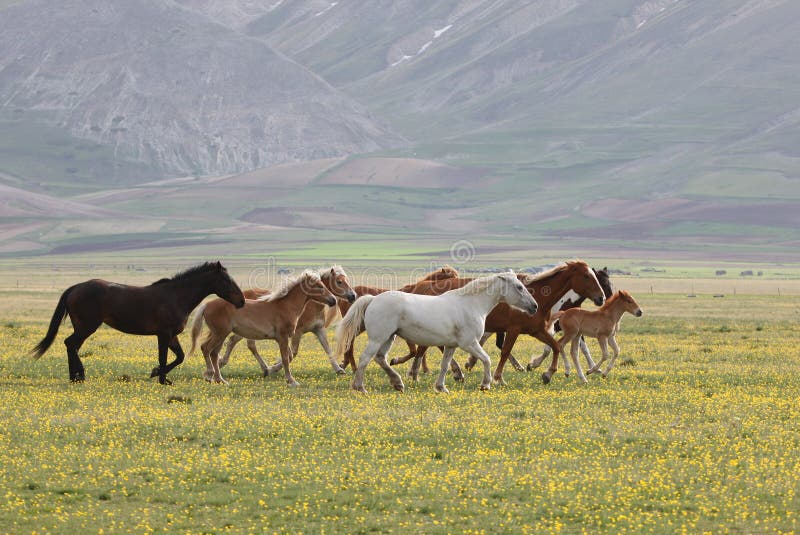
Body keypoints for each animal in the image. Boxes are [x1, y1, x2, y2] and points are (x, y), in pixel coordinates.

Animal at [30, 261, 245, 384]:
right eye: (226, 280)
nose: (242, 301)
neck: (176, 296)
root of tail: (76, 287)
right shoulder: (163, 334)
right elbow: (164, 357)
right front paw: (160, 377)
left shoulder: (171, 335)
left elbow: (180, 357)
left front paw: (159, 375)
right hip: (87, 326)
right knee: (70, 344)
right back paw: (79, 375)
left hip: (83, 327)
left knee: (71, 345)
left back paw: (74, 377)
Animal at [189, 270, 337, 386]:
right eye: (319, 286)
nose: (333, 300)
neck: (285, 306)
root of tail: (207, 305)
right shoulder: (282, 337)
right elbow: (285, 358)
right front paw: (292, 381)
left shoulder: (283, 338)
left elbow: (288, 356)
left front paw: (273, 372)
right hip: (220, 333)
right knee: (206, 348)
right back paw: (210, 375)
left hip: (221, 334)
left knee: (214, 353)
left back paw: (220, 380)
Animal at [218, 266, 357, 376]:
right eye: (339, 282)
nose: (353, 296)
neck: (310, 304)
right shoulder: (297, 332)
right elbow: (292, 353)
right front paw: (274, 368)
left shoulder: (318, 329)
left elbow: (327, 348)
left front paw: (338, 369)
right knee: (247, 344)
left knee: (234, 340)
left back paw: (223, 363)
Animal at [336, 272, 538, 393]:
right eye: (519, 287)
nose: (534, 306)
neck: (472, 305)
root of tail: (372, 299)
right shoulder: (469, 343)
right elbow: (487, 359)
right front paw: (485, 385)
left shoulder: (451, 345)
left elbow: (445, 365)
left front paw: (441, 387)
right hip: (378, 338)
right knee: (365, 359)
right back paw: (360, 387)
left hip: (388, 338)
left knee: (380, 358)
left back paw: (398, 383)